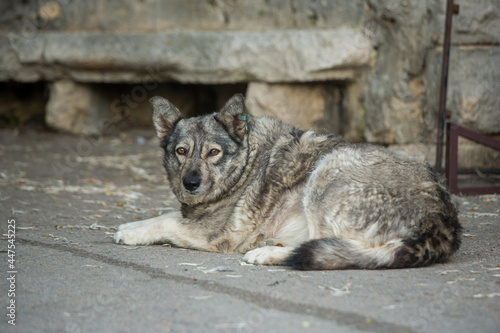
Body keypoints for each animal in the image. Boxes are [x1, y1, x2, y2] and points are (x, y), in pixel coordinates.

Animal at [113, 93, 460, 270]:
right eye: (181, 151)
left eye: (213, 152)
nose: (191, 183)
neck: (246, 163)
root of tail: (444, 221)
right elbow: (166, 214)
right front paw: (131, 225)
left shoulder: (217, 234)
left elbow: (168, 222)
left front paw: (132, 233)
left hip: (326, 172)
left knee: (319, 248)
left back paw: (267, 254)